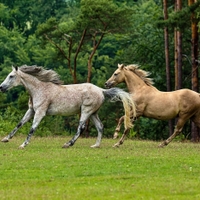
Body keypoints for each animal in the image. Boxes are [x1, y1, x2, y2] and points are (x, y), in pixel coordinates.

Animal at [0, 65, 136, 148]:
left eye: (11, 76)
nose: (1, 87)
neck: (39, 89)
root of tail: (101, 91)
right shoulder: (31, 111)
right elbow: (19, 124)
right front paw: (5, 139)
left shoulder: (40, 112)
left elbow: (32, 128)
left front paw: (23, 145)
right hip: (93, 113)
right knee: (100, 127)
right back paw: (95, 145)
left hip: (86, 111)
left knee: (80, 128)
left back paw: (68, 144)